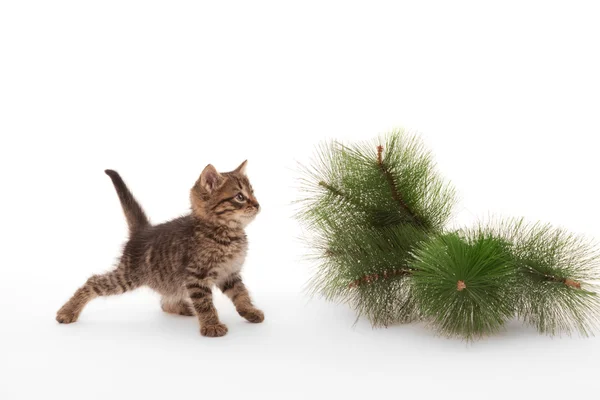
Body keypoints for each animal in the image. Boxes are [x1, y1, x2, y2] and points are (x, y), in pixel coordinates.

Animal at [55, 161, 262, 336]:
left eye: (253, 193)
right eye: (240, 197)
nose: (258, 204)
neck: (227, 234)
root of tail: (143, 231)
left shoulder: (230, 273)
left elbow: (241, 293)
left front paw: (250, 311)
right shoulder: (196, 276)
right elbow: (204, 303)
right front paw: (211, 325)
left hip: (169, 280)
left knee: (165, 302)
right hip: (129, 275)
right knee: (93, 281)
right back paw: (68, 311)